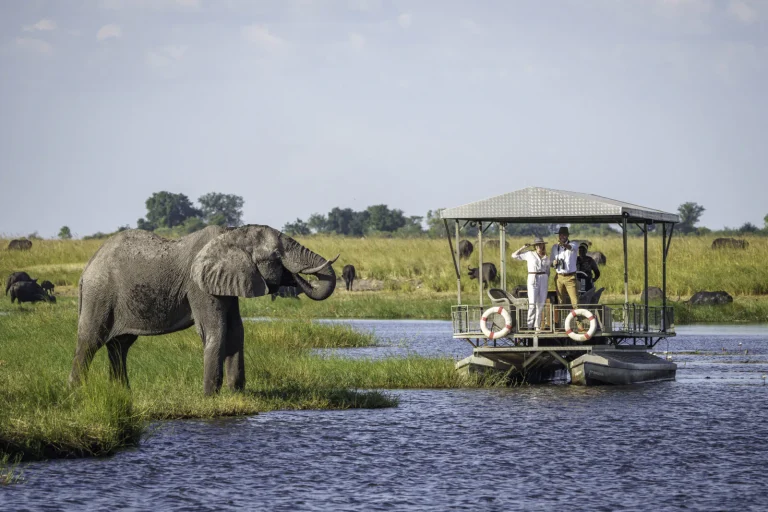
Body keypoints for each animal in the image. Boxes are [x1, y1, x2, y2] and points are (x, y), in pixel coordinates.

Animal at [70, 224, 339, 395]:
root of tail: (87, 269)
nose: (297, 277)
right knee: (90, 341)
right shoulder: (198, 285)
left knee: (120, 346)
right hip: (99, 294)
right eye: (275, 256)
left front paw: (237, 393)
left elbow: (236, 331)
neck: (231, 234)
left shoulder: (227, 282)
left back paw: (123, 393)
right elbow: (215, 331)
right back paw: (77, 393)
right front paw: (210, 396)